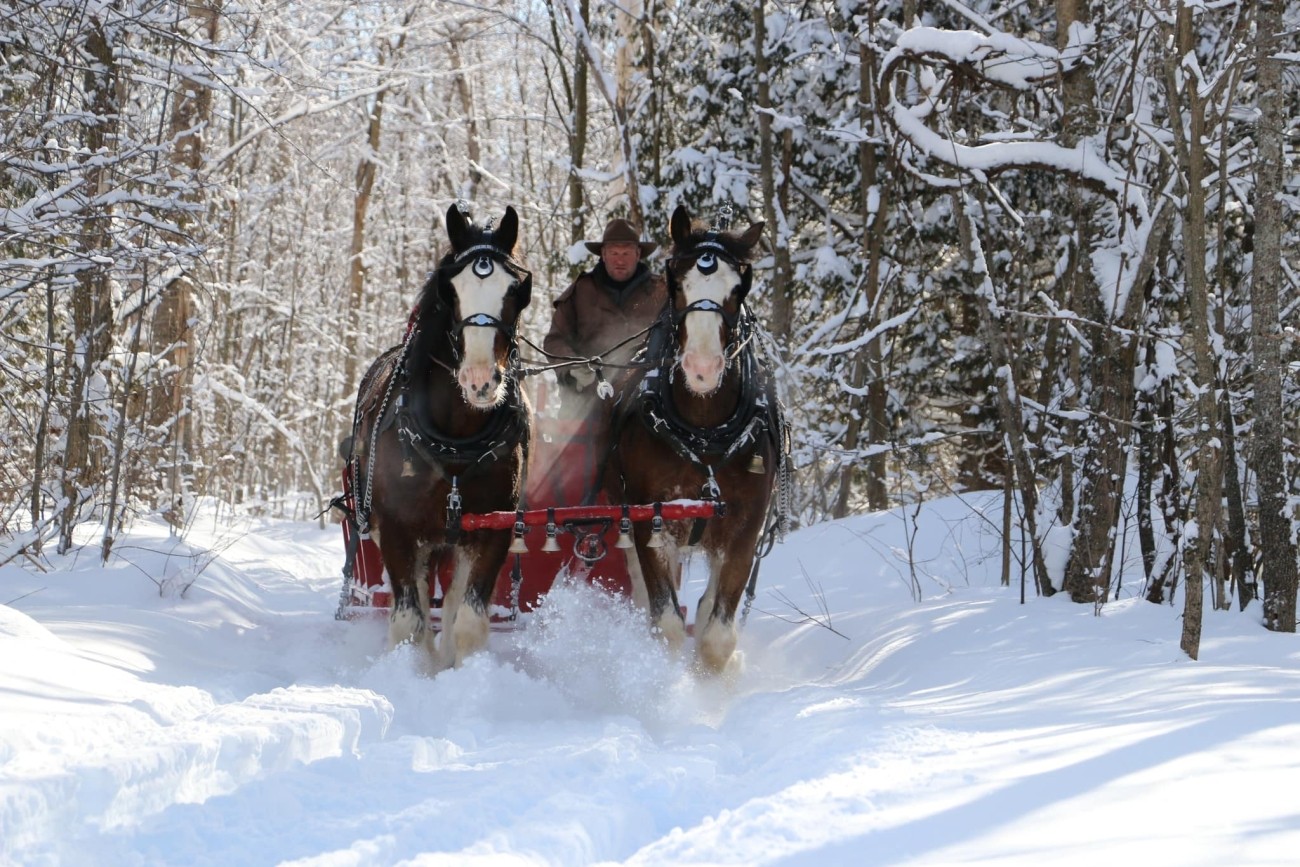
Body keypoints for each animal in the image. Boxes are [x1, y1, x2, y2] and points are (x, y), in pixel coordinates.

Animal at [349, 204, 532, 672]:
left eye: (517, 291)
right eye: (451, 290)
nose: (480, 379)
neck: (455, 440)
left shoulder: (492, 531)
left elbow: (466, 618)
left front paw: (459, 672)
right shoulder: (397, 530)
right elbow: (409, 620)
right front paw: (414, 672)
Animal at [607, 204, 784, 674]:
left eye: (738, 288)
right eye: (677, 283)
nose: (702, 368)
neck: (703, 434)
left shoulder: (745, 528)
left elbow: (717, 634)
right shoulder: (651, 520)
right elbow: (665, 622)